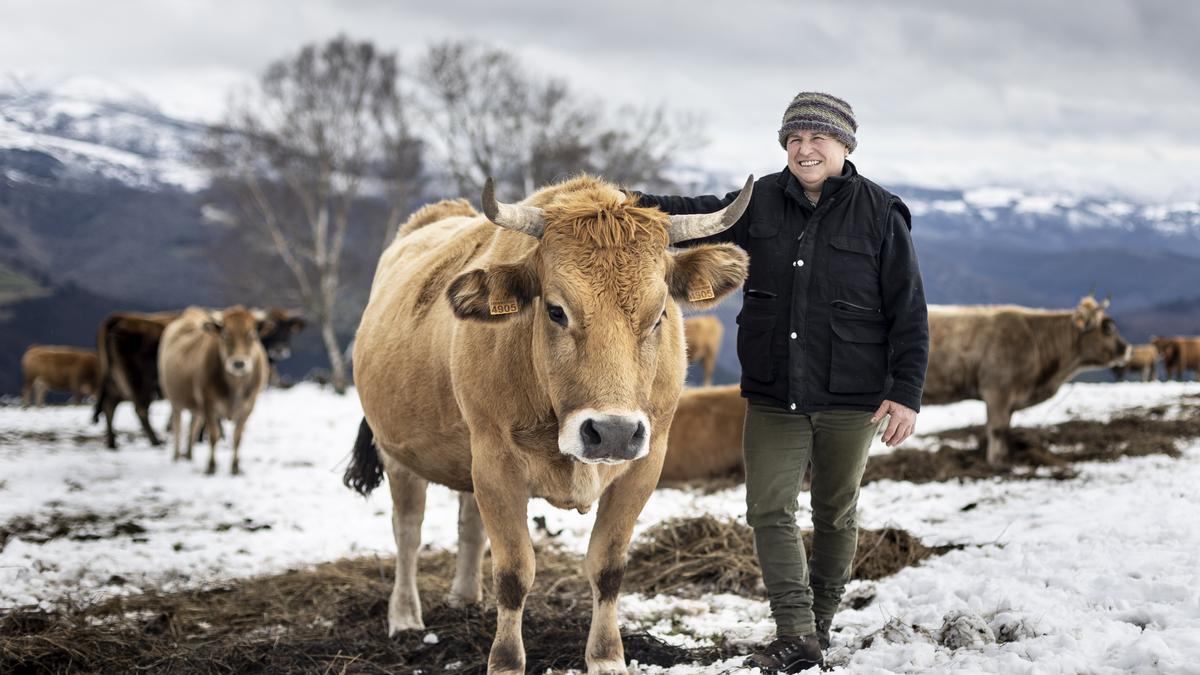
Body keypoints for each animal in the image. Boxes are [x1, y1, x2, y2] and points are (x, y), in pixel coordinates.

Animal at [157, 305, 270, 473]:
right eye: (225, 335)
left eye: (252, 335)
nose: (238, 363)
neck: (234, 387)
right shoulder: (208, 405)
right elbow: (213, 435)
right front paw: (211, 467)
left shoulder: (248, 407)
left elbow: (237, 437)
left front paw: (235, 468)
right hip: (174, 400)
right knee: (177, 427)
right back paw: (177, 456)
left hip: (195, 406)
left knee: (193, 426)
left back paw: (189, 455)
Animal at [343, 174, 744, 672]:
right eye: (556, 310)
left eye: (659, 315)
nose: (612, 432)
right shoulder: (496, 464)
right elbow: (514, 572)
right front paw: (505, 661)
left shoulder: (644, 467)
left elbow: (608, 567)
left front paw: (607, 657)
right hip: (397, 453)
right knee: (408, 532)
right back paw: (404, 618)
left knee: (468, 523)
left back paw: (465, 597)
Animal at [921, 296, 1128, 466]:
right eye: (1107, 329)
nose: (1126, 348)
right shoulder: (997, 390)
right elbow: (997, 429)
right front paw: (995, 462)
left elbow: (1006, 428)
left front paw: (1005, 456)